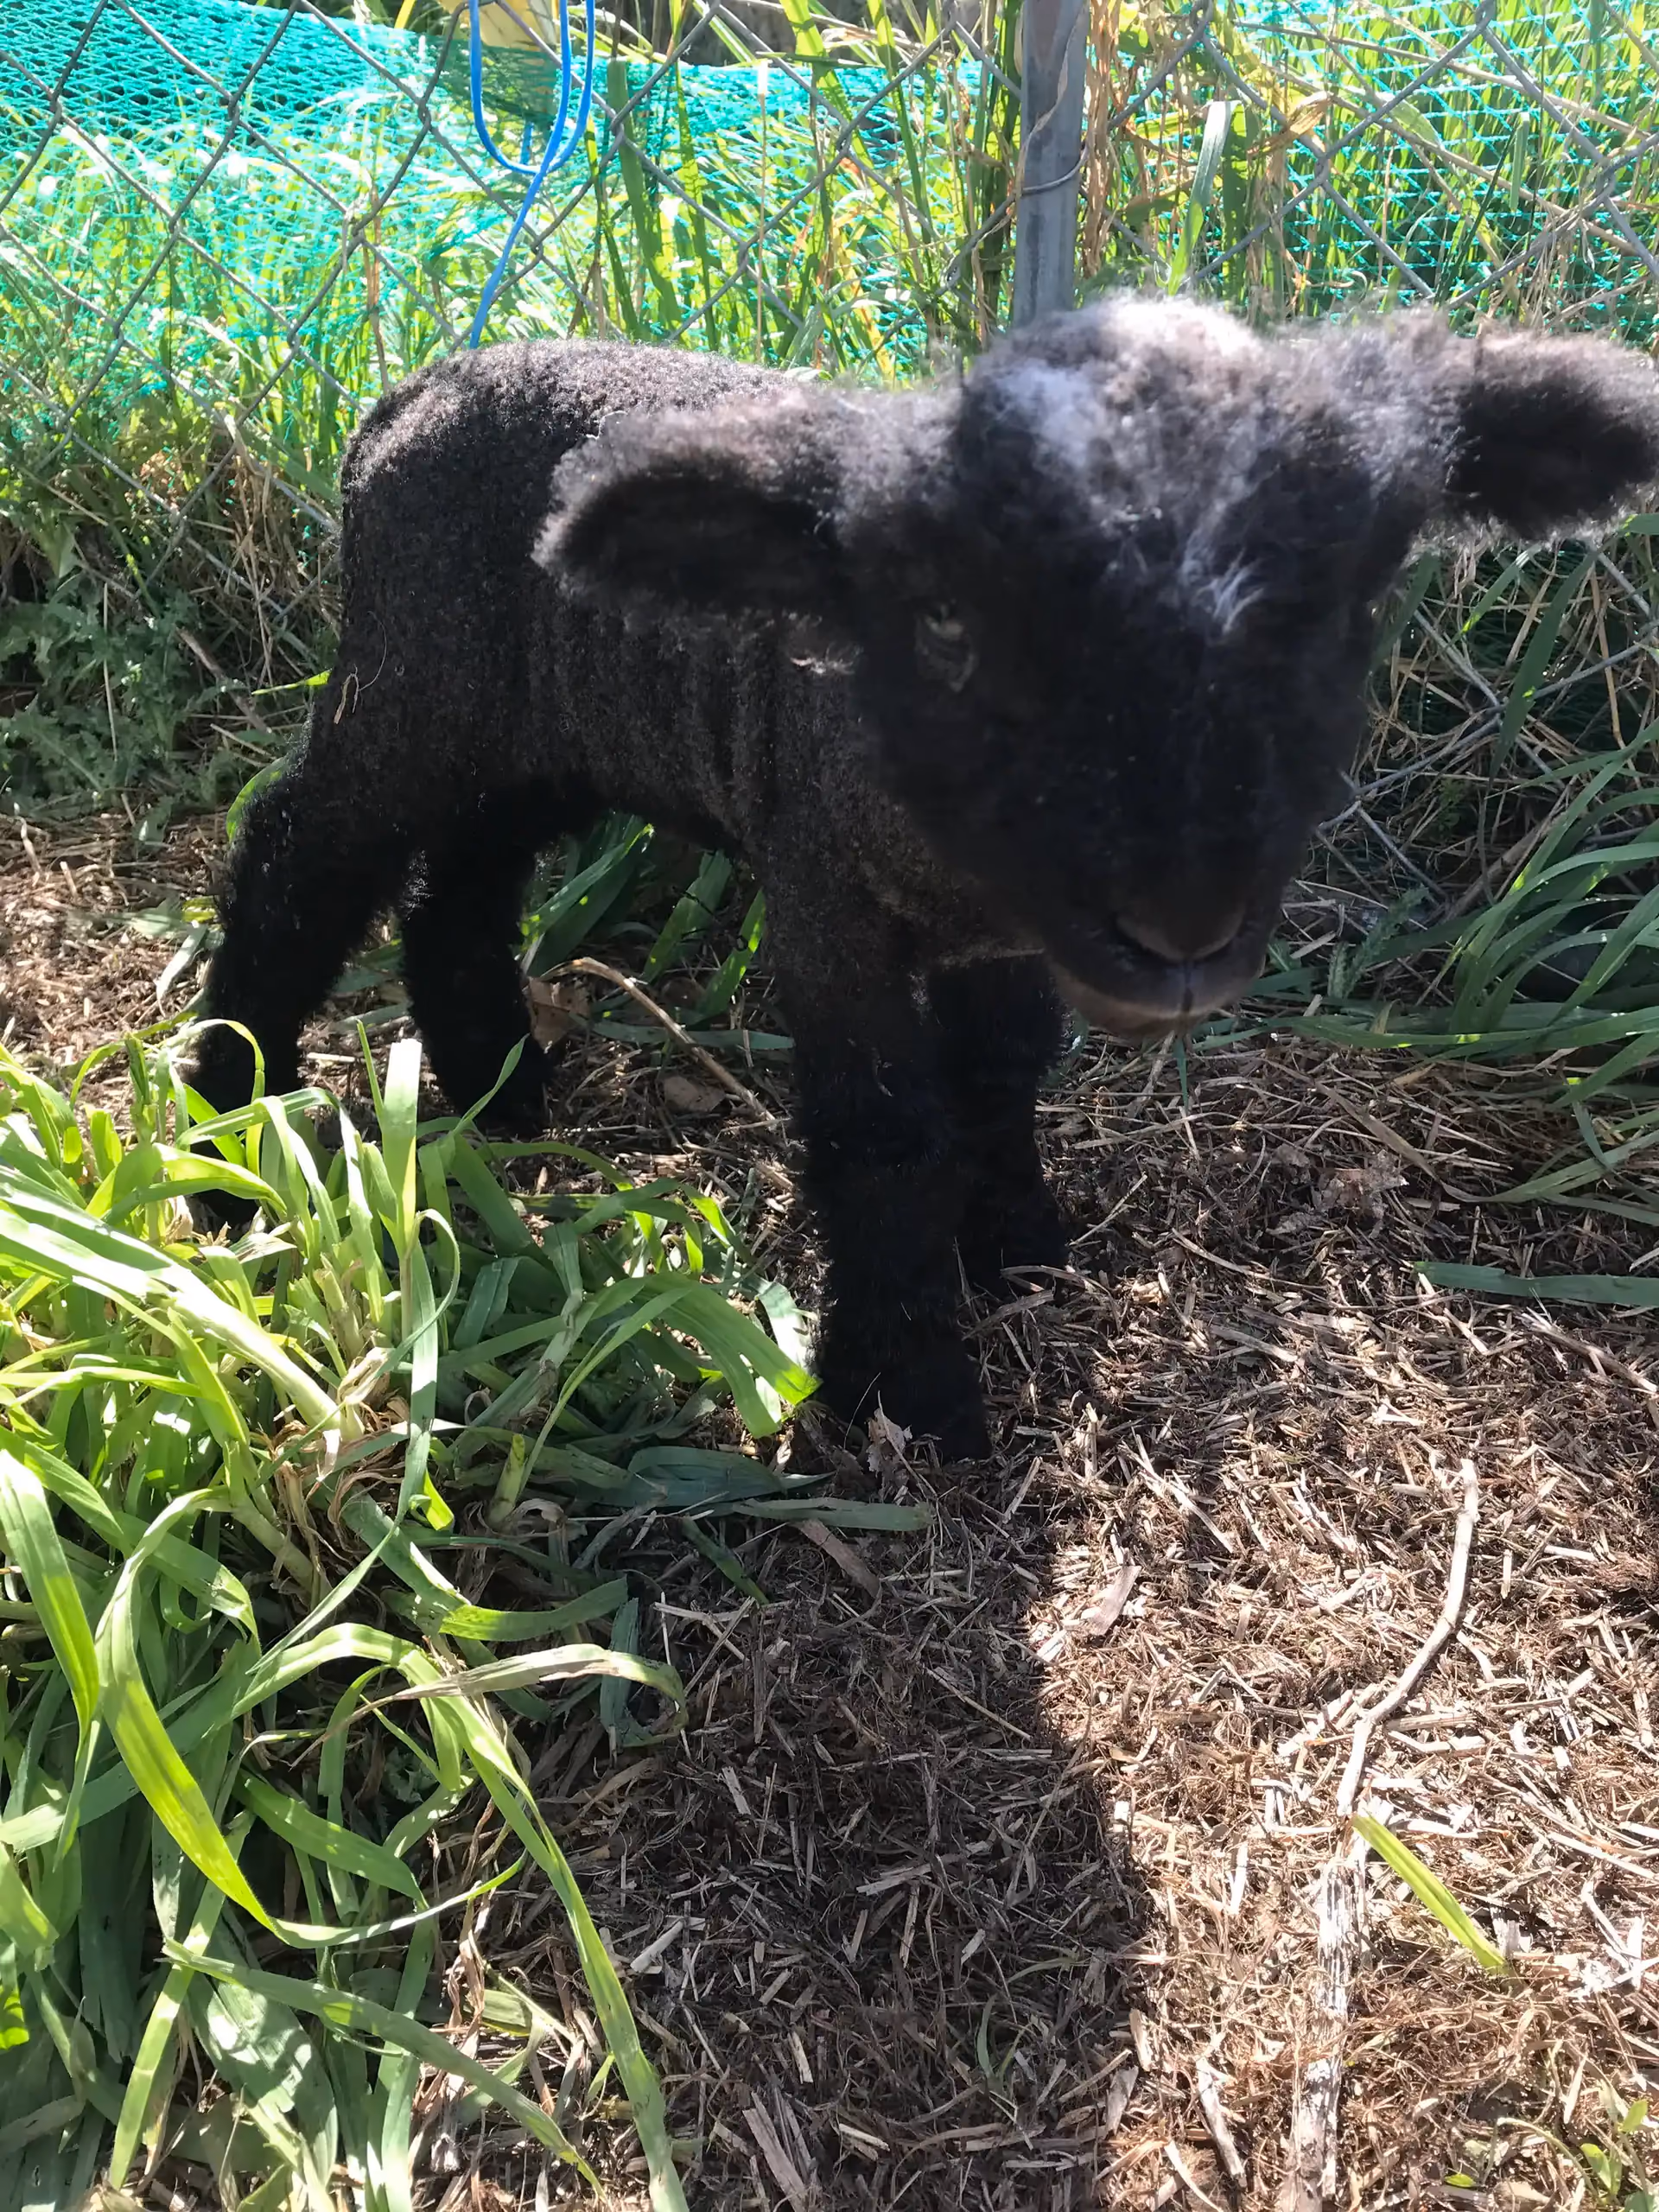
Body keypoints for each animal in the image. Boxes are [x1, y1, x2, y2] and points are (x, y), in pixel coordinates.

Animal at [190, 296, 1659, 1457]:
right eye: (946, 624)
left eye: (1347, 612)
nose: (1182, 929)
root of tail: (407, 397)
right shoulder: (826, 895)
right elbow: (880, 1130)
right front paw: (903, 1390)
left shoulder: (1013, 929)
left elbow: (1001, 1068)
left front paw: (1013, 1244)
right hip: (411, 690)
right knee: (294, 859)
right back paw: (219, 1140)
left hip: (544, 734)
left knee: (459, 893)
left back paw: (505, 1103)